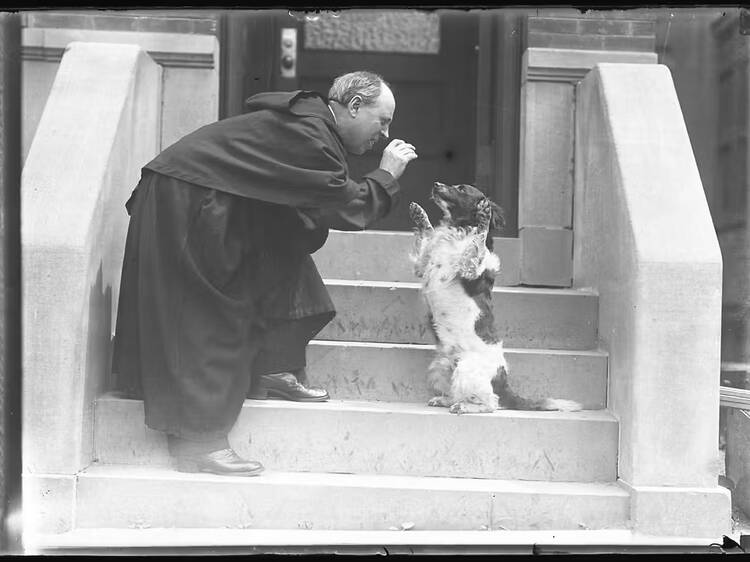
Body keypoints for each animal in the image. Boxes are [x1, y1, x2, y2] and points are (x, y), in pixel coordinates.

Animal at [412, 182, 580, 414]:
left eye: (461, 189)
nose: (436, 184)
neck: (457, 230)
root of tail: (503, 382)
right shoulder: (423, 266)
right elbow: (426, 237)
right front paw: (419, 214)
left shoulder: (471, 274)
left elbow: (479, 242)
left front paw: (484, 216)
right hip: (441, 367)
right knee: (463, 393)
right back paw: (447, 400)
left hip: (467, 369)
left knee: (492, 403)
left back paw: (464, 407)